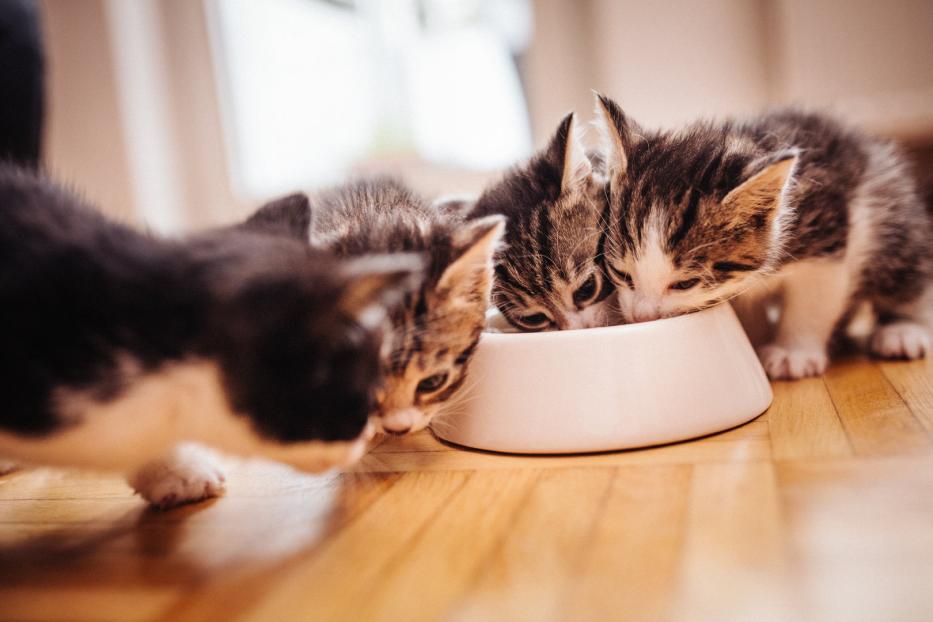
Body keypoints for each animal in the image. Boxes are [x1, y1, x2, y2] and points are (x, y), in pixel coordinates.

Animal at [592, 94, 928, 380]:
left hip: (888, 217)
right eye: (621, 273)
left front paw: (793, 353)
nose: (641, 317)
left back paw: (904, 330)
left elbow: (814, 299)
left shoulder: (826, 233)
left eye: (685, 284)